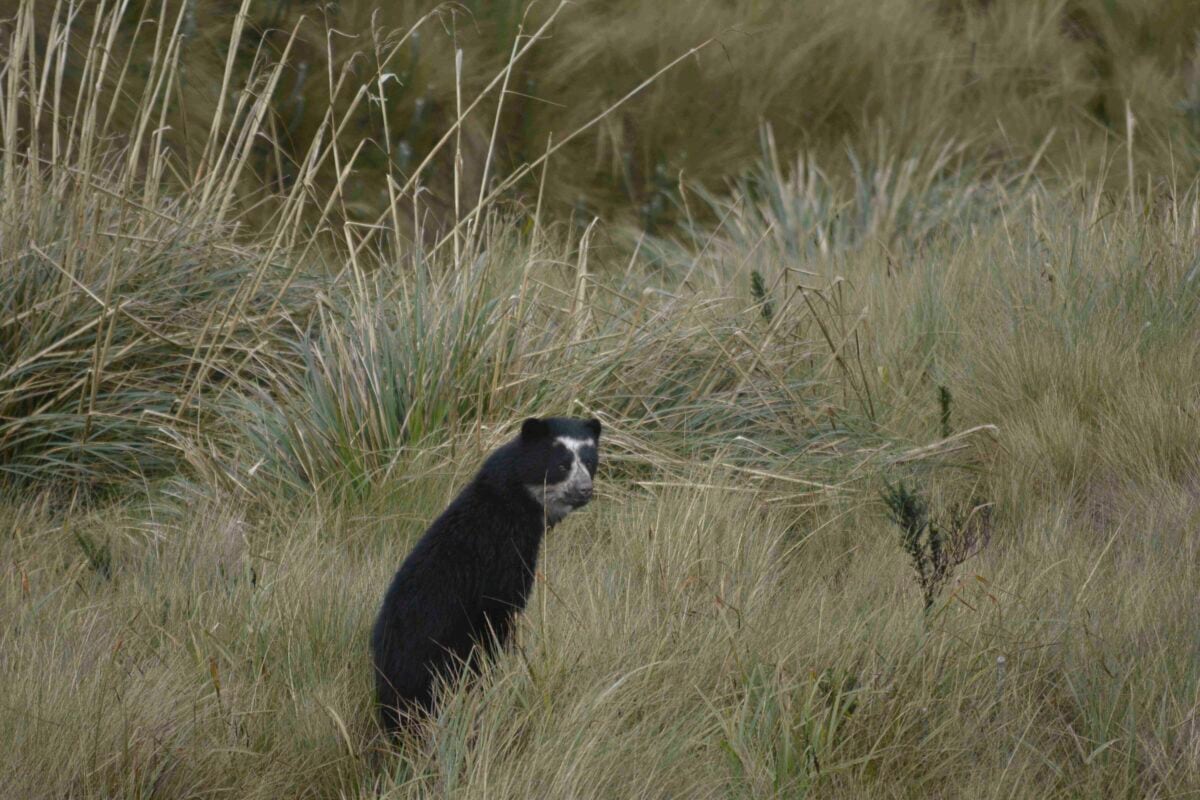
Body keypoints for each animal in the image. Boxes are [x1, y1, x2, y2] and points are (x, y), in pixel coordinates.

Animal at [370, 416, 602, 733]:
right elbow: (503, 610)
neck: (518, 500)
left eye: (590, 462)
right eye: (561, 465)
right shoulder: (504, 560)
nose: (584, 490)